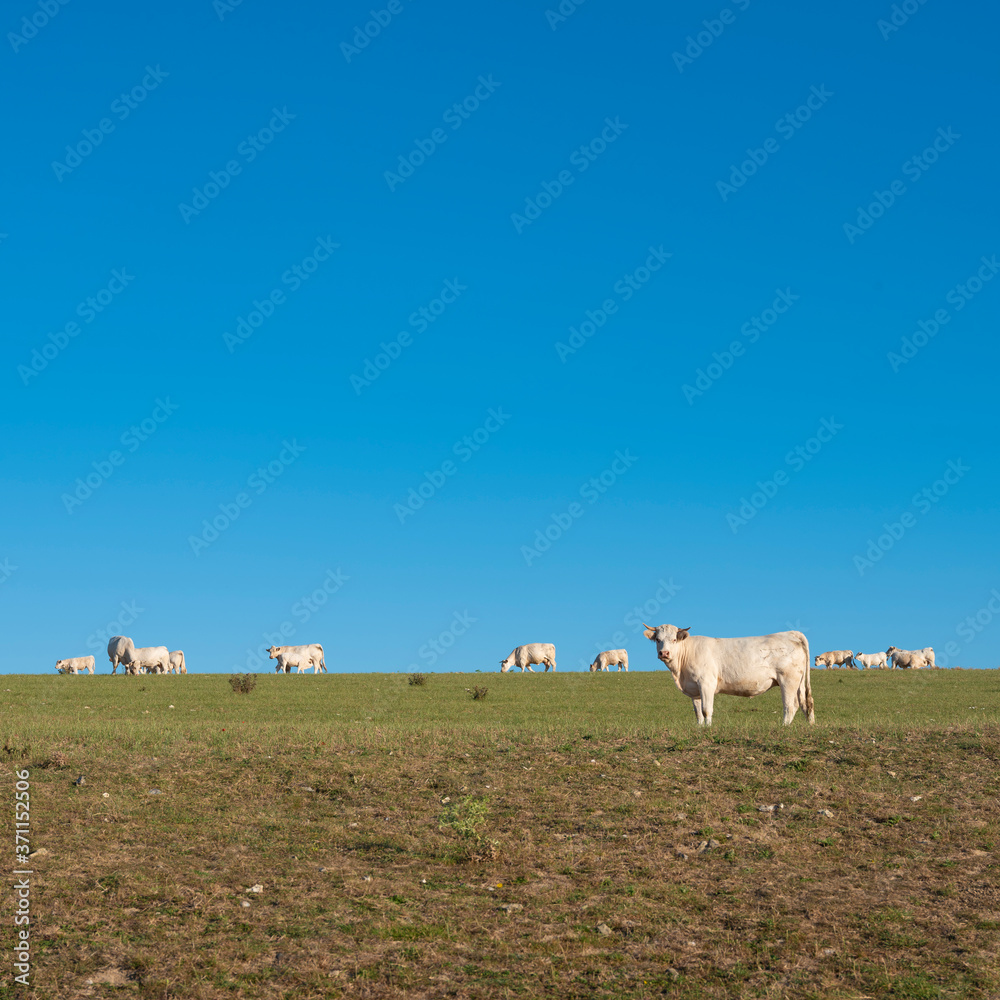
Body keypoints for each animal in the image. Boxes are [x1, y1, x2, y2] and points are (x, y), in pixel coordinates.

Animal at [643, 623, 814, 726]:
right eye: (658, 639)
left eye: (673, 639)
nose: (664, 653)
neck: (680, 673)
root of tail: (789, 633)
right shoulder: (694, 688)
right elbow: (698, 712)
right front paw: (699, 728)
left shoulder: (706, 683)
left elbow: (706, 709)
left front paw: (708, 728)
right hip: (798, 682)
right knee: (804, 703)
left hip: (788, 679)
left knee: (790, 706)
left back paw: (783, 726)